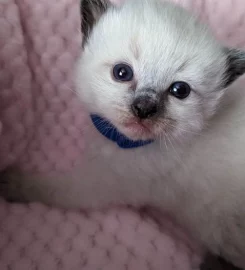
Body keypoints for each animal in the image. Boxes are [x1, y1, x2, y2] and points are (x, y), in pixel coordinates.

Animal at [1, 1, 245, 268]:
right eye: (122, 73)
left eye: (180, 90)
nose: (144, 109)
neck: (123, 142)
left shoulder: (101, 184)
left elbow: (49, 188)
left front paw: (13, 182)